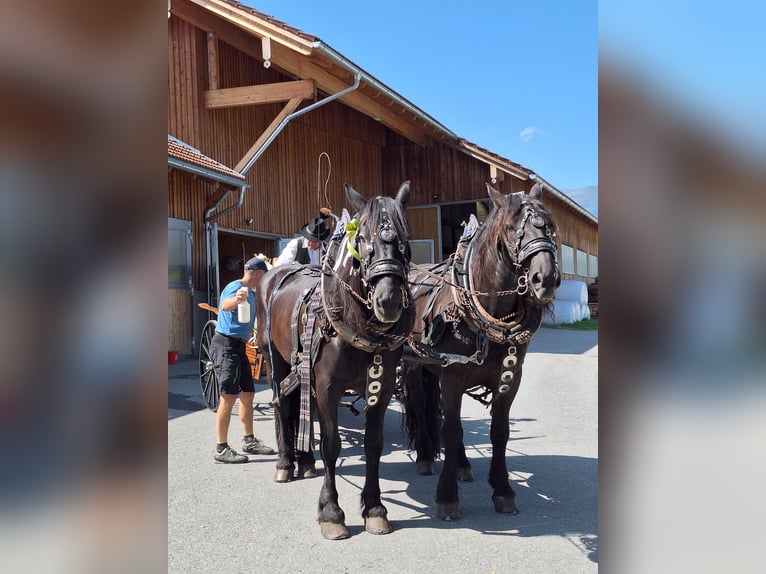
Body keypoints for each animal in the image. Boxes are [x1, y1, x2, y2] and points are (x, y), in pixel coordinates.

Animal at [256, 182, 414, 544]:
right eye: (363, 240)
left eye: (404, 240)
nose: (388, 301)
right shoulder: (328, 385)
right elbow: (331, 445)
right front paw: (331, 513)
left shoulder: (382, 387)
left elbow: (373, 444)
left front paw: (375, 509)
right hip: (275, 362)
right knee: (282, 407)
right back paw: (285, 463)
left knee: (300, 409)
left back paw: (304, 461)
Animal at [402, 183, 560, 520]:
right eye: (513, 229)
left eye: (549, 228)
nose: (546, 279)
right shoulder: (451, 375)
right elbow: (451, 430)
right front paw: (447, 497)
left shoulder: (509, 377)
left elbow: (499, 432)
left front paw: (503, 491)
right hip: (414, 365)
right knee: (422, 404)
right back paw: (424, 456)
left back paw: (462, 465)